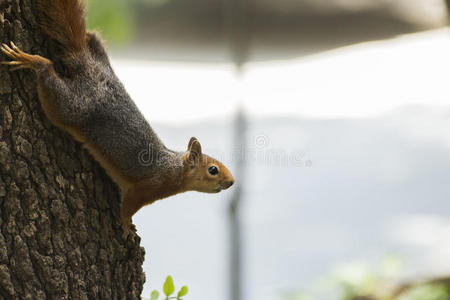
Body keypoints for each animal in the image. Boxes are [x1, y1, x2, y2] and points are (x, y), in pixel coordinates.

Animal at [1, 0, 236, 227]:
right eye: (213, 170)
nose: (232, 182)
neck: (174, 169)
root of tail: (91, 67)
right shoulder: (147, 188)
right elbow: (128, 207)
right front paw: (126, 227)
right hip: (70, 106)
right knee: (48, 74)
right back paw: (33, 61)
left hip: (98, 53)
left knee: (90, 37)